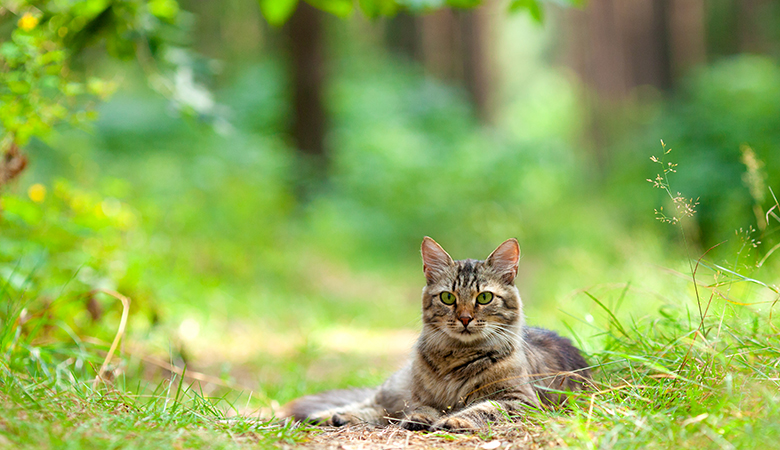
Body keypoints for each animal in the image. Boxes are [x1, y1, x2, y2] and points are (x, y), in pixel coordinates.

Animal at [280, 237, 592, 430]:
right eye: (448, 298)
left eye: (484, 298)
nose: (465, 318)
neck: (457, 358)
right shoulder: (420, 397)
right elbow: (424, 409)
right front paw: (422, 419)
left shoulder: (520, 400)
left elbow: (483, 408)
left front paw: (455, 421)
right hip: (396, 388)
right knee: (373, 404)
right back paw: (330, 416)